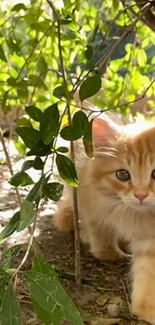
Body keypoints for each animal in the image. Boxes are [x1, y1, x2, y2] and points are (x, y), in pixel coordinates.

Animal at [54, 114, 155, 324]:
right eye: (123, 174)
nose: (140, 195)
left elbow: (148, 269)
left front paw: (146, 307)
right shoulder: (91, 200)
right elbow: (100, 231)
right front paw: (108, 252)